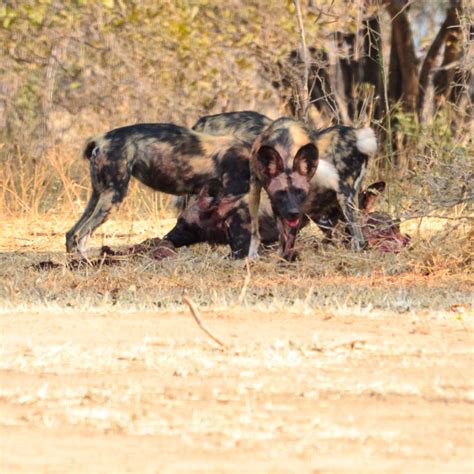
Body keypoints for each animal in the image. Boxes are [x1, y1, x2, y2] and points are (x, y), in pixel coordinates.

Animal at [248, 117, 318, 262]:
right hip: (254, 192)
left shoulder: (300, 208)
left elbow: (290, 236)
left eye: (299, 191)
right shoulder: (276, 205)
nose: (292, 212)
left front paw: (287, 257)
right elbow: (282, 234)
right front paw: (284, 257)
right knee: (254, 227)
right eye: (281, 193)